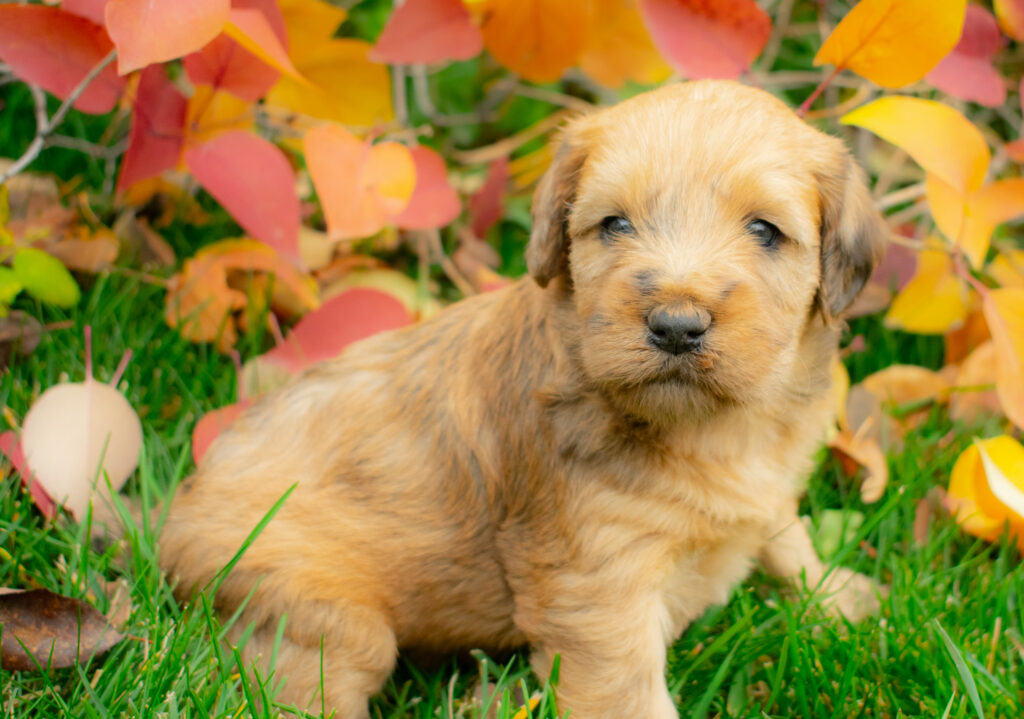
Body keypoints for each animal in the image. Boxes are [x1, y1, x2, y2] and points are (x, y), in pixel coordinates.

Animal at [159, 81, 888, 719]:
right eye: (614, 224)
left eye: (765, 231)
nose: (676, 326)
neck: (713, 428)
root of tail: (176, 517)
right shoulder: (599, 585)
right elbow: (629, 696)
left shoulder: (763, 489)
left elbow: (787, 536)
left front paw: (836, 598)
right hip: (317, 610)